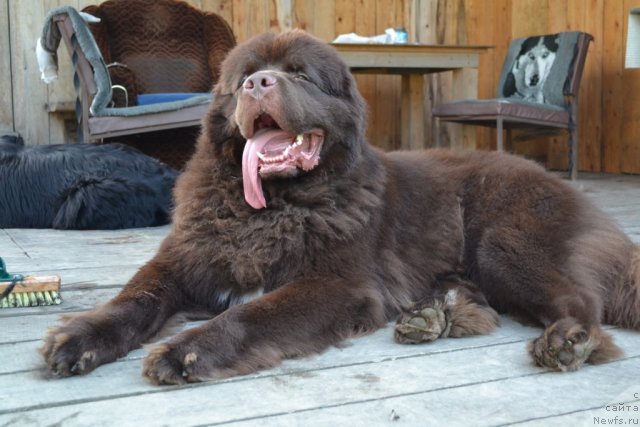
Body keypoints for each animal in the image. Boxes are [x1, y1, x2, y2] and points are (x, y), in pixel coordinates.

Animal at [41, 30, 640, 384]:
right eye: (241, 79)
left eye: (300, 75)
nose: (258, 82)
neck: (272, 207)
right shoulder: (186, 258)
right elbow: (135, 296)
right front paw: (78, 337)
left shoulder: (335, 284)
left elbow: (251, 311)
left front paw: (189, 349)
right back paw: (431, 315)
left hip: (505, 242)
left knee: (580, 299)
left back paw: (567, 340)